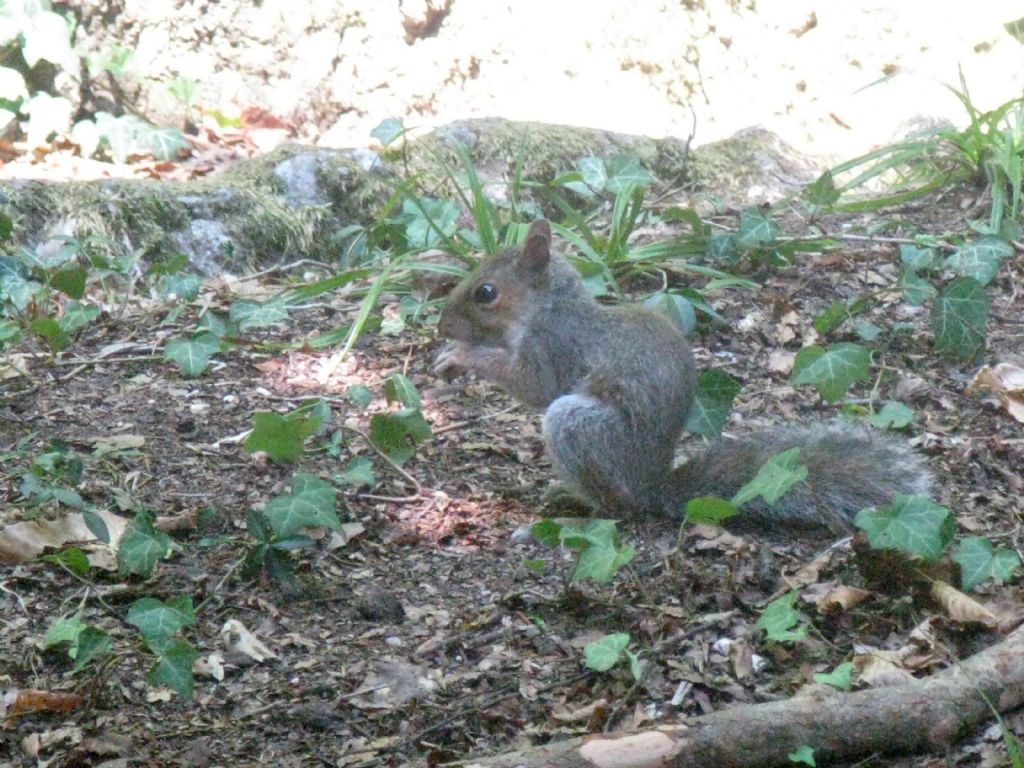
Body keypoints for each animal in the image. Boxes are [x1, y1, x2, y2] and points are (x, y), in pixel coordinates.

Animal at [434, 219, 937, 532]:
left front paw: (461, 356)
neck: (548, 306)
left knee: (619, 513)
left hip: (578, 428)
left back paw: (571, 520)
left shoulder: (554, 345)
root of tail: (652, 488)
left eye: (485, 293)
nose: (442, 325)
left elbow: (533, 386)